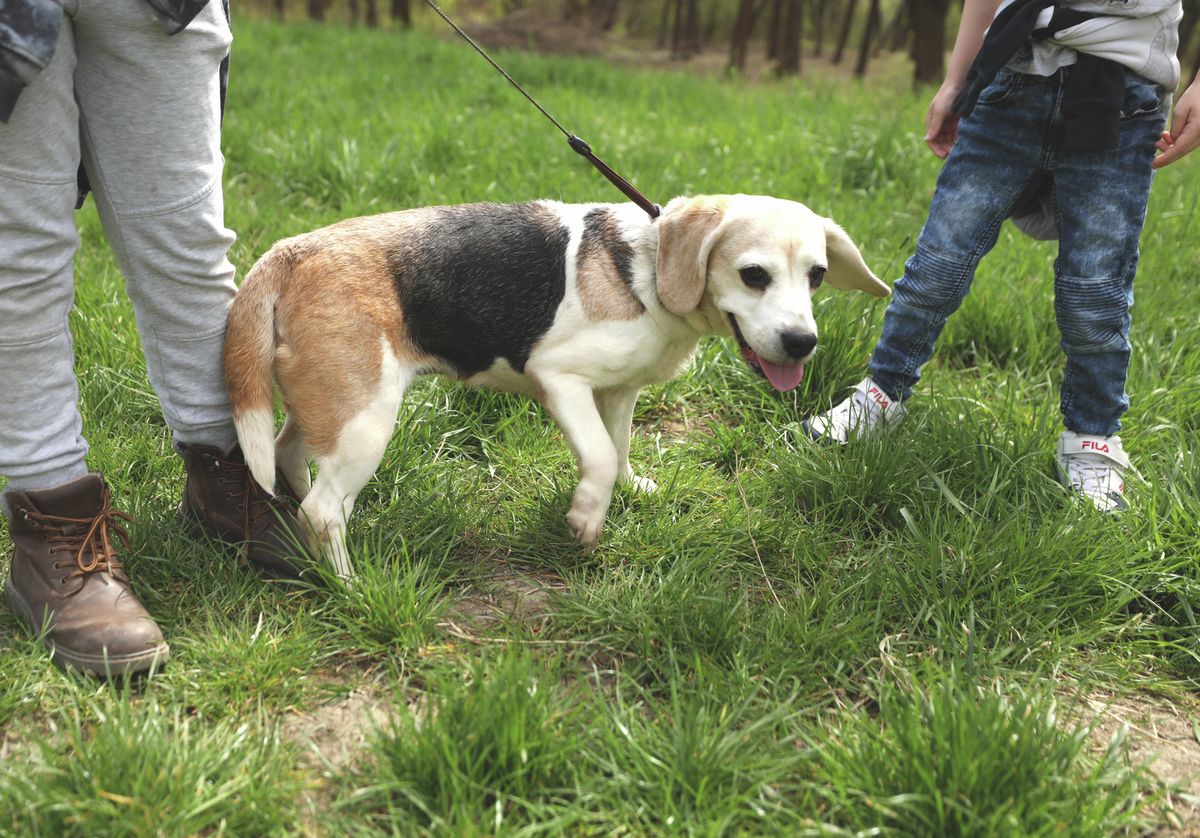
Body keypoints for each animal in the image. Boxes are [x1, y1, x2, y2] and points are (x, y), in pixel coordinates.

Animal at [223, 193, 892, 578]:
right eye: (754, 276)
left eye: (818, 276)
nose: (802, 343)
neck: (647, 263)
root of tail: (294, 250)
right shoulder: (560, 379)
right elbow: (598, 456)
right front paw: (586, 519)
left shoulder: (618, 393)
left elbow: (620, 447)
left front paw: (631, 490)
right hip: (367, 419)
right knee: (324, 510)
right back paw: (349, 584)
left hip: (330, 410)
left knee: (287, 458)